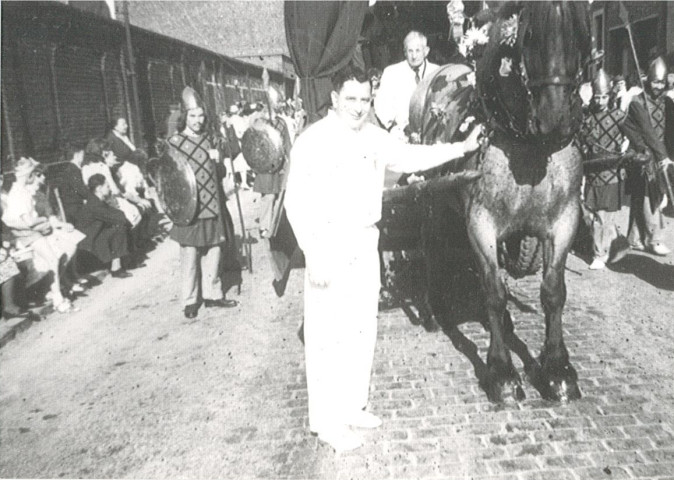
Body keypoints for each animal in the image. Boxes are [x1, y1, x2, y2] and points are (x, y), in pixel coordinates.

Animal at [464, 1, 592, 404]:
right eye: (530, 34)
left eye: (578, 31)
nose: (555, 120)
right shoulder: (479, 223)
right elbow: (493, 293)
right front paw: (501, 371)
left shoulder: (565, 219)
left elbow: (553, 292)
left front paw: (557, 368)